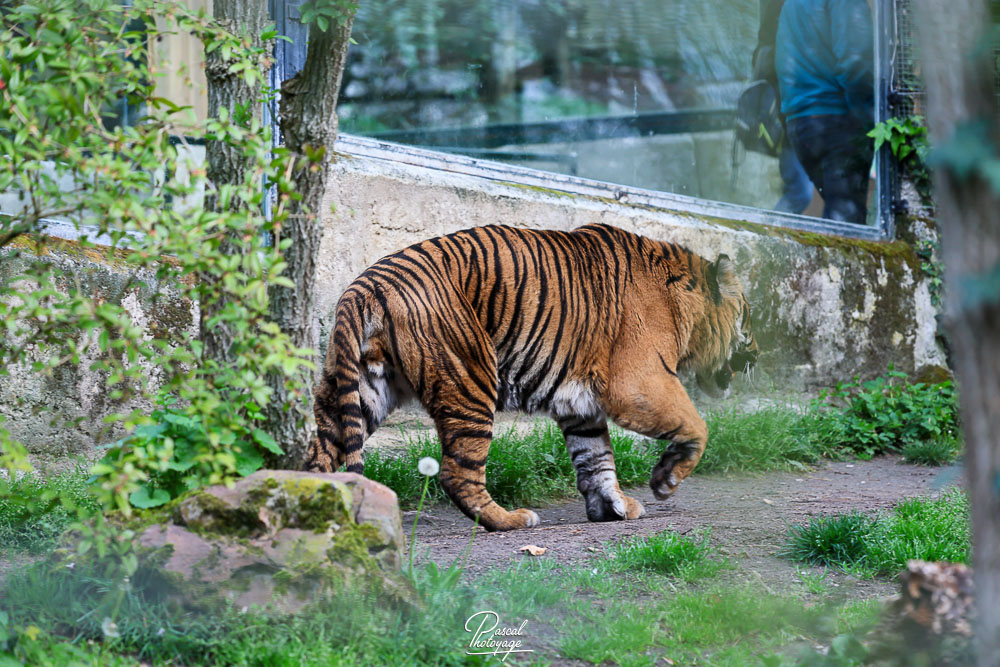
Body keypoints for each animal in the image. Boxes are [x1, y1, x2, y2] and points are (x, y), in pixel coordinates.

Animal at [306, 223, 758, 532]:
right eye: (748, 315)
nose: (756, 354)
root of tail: (365, 285)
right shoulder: (639, 383)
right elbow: (696, 424)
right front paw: (665, 481)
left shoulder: (581, 403)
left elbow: (596, 458)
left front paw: (612, 507)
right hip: (471, 380)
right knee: (458, 472)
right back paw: (510, 519)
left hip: (363, 391)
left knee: (320, 455)